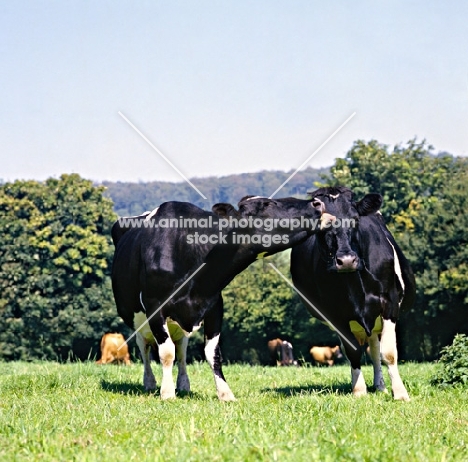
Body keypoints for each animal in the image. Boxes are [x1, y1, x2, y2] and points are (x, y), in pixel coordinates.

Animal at [113, 197, 332, 398]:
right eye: (267, 204)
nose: (316, 202)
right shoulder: (155, 307)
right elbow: (166, 353)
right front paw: (166, 393)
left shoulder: (214, 306)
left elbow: (212, 353)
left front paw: (225, 393)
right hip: (139, 320)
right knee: (144, 348)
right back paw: (150, 383)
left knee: (181, 350)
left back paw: (183, 384)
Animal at [290, 187, 414, 400]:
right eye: (320, 223)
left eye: (355, 219)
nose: (346, 260)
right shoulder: (336, 314)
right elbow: (353, 352)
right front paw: (359, 391)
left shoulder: (389, 302)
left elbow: (388, 352)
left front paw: (399, 393)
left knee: (375, 349)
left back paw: (380, 386)